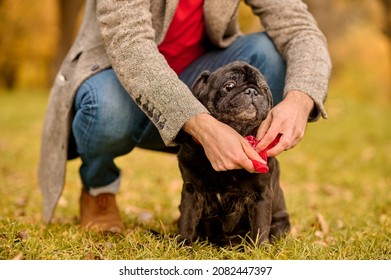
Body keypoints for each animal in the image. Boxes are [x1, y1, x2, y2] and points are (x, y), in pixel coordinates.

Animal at [178, 60, 290, 245]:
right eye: (229, 85)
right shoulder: (191, 191)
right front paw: (183, 246)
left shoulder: (261, 195)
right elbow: (187, 221)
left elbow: (260, 227)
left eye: (264, 88)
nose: (252, 91)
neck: (239, 132)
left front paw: (260, 248)